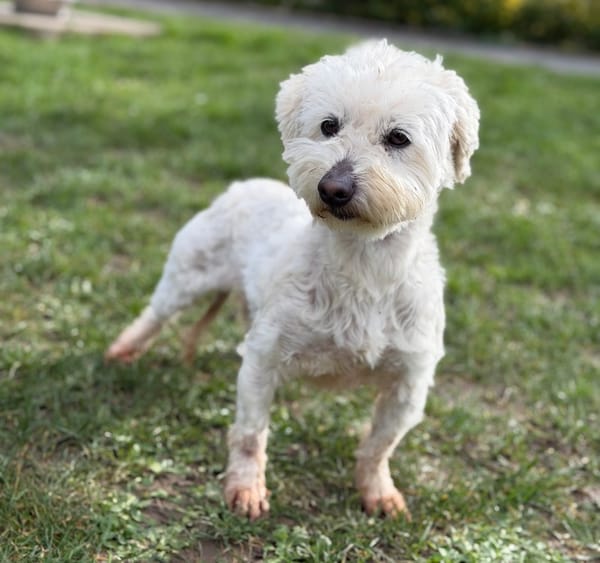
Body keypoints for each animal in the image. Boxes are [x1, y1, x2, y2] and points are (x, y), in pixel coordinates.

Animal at [106, 39, 479, 520]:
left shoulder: (409, 384)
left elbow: (380, 446)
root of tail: (243, 186)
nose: (333, 188)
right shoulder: (264, 357)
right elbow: (250, 433)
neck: (362, 266)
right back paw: (123, 350)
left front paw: (378, 492)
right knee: (155, 314)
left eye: (399, 138)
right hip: (187, 274)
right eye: (329, 126)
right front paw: (246, 488)